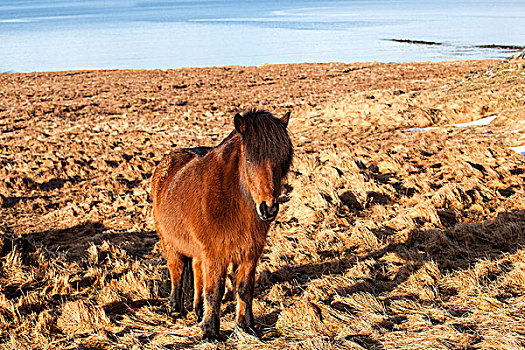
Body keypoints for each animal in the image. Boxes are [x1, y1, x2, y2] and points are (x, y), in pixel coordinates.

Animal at [151, 109, 292, 340]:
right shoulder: (215, 255)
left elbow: (244, 289)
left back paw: (198, 310)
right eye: (249, 159)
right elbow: (215, 292)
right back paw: (176, 309)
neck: (232, 199)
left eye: (281, 161)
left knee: (197, 272)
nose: (268, 209)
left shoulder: (249, 253)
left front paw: (246, 327)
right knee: (176, 272)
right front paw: (210, 332)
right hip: (170, 243)